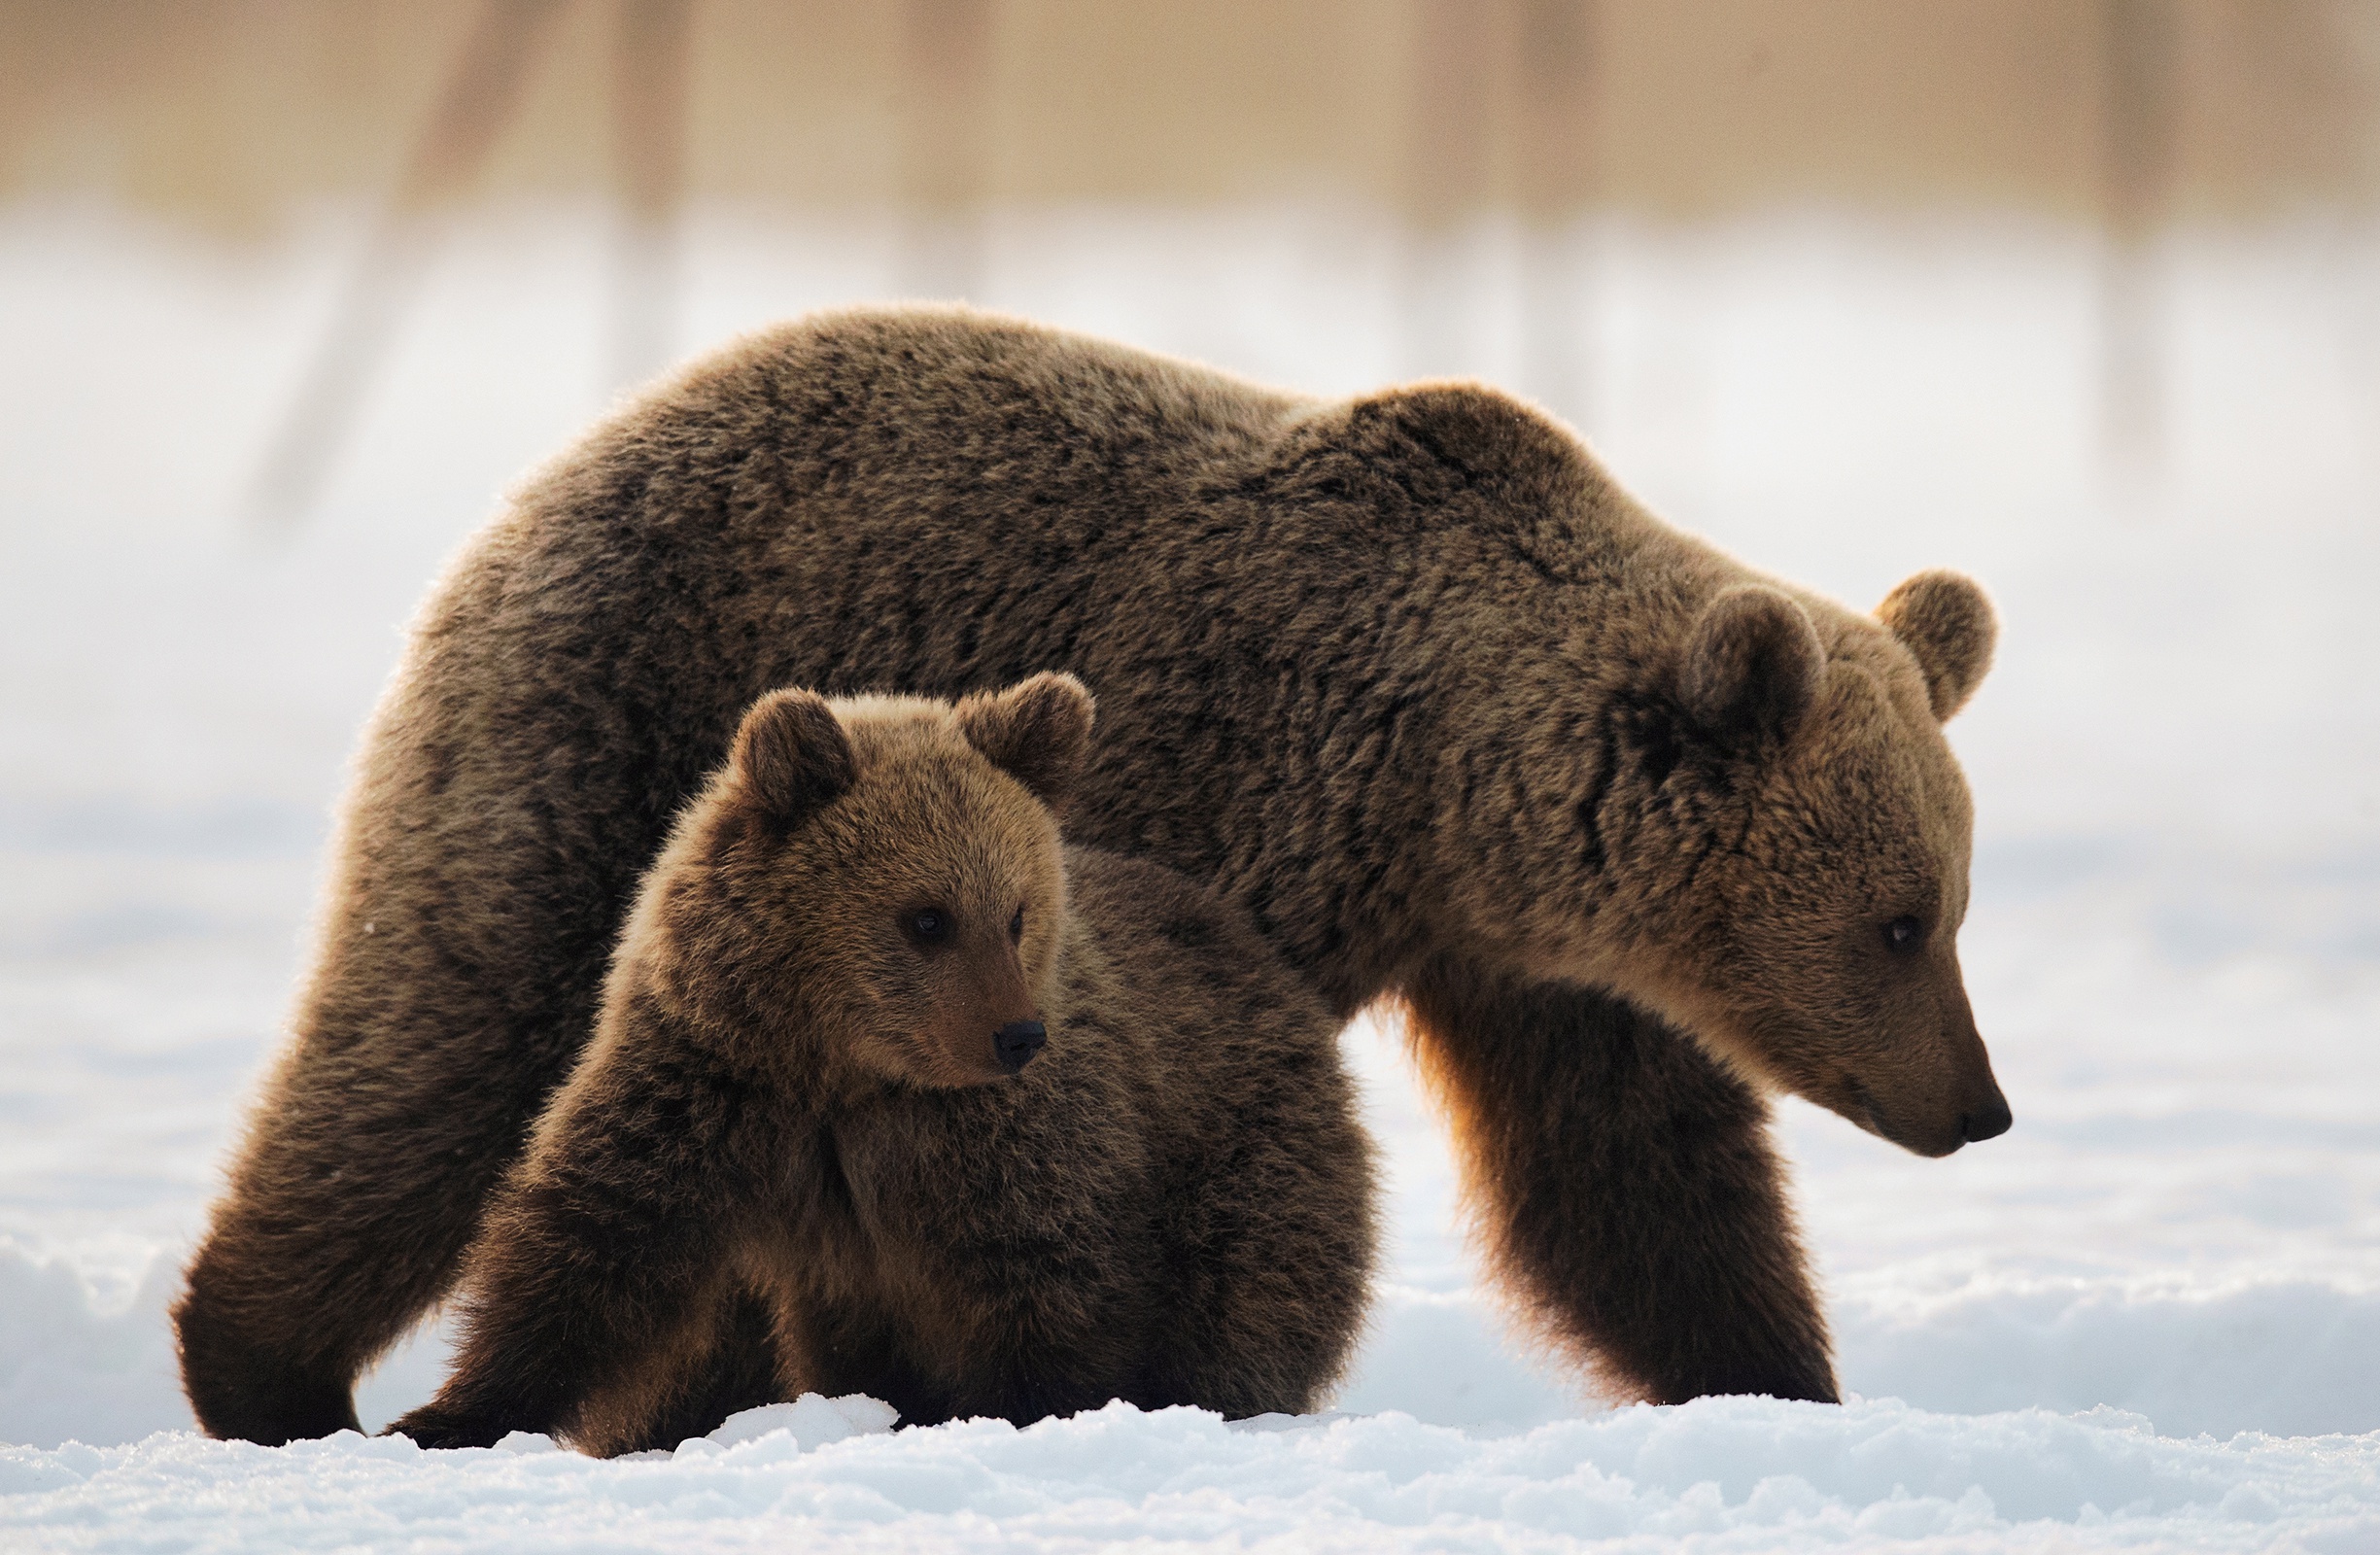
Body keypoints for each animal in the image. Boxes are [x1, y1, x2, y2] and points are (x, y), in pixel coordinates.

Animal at [181, 303, 2008, 1447]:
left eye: (1945, 904)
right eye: (1898, 918)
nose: (1977, 1107)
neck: (1429, 783)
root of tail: (552, 471)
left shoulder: (1533, 965)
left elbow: (1637, 1183)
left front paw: (1777, 1386)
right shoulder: (1187, 800)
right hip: (598, 725)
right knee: (445, 1046)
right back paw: (271, 1373)